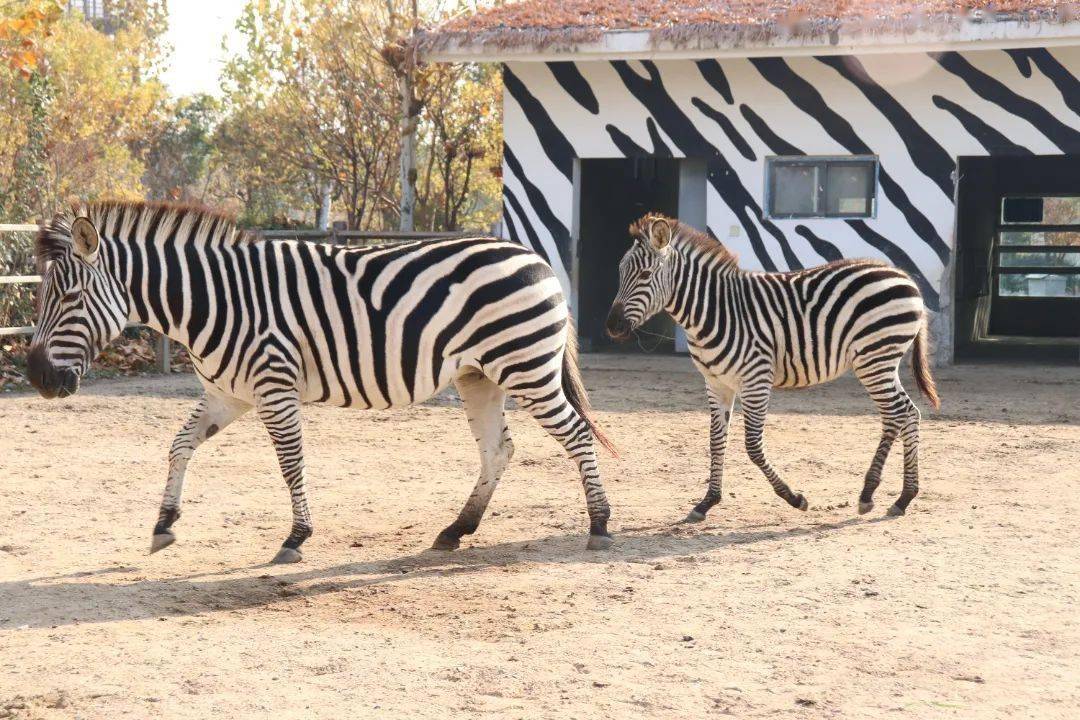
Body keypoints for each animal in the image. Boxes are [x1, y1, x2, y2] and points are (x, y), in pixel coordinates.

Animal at [25, 201, 617, 561]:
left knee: (576, 435)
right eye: (41, 295)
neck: (212, 302)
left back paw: (599, 525)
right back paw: (455, 530)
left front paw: (296, 536)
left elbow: (290, 462)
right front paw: (165, 523)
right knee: (498, 450)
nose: (36, 377)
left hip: (525, 368)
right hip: (479, 376)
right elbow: (178, 445)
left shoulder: (273, 385)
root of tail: (533, 255)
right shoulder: (226, 394)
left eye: (70, 298)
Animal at [604, 213, 941, 524]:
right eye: (619, 272)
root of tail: (903, 276)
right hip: (881, 361)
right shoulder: (716, 383)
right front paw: (706, 502)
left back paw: (878, 495)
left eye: (645, 274)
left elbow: (752, 446)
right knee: (905, 414)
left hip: (874, 358)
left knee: (898, 414)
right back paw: (896, 496)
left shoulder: (756, 380)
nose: (612, 327)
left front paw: (794, 498)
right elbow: (716, 440)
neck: (713, 311)